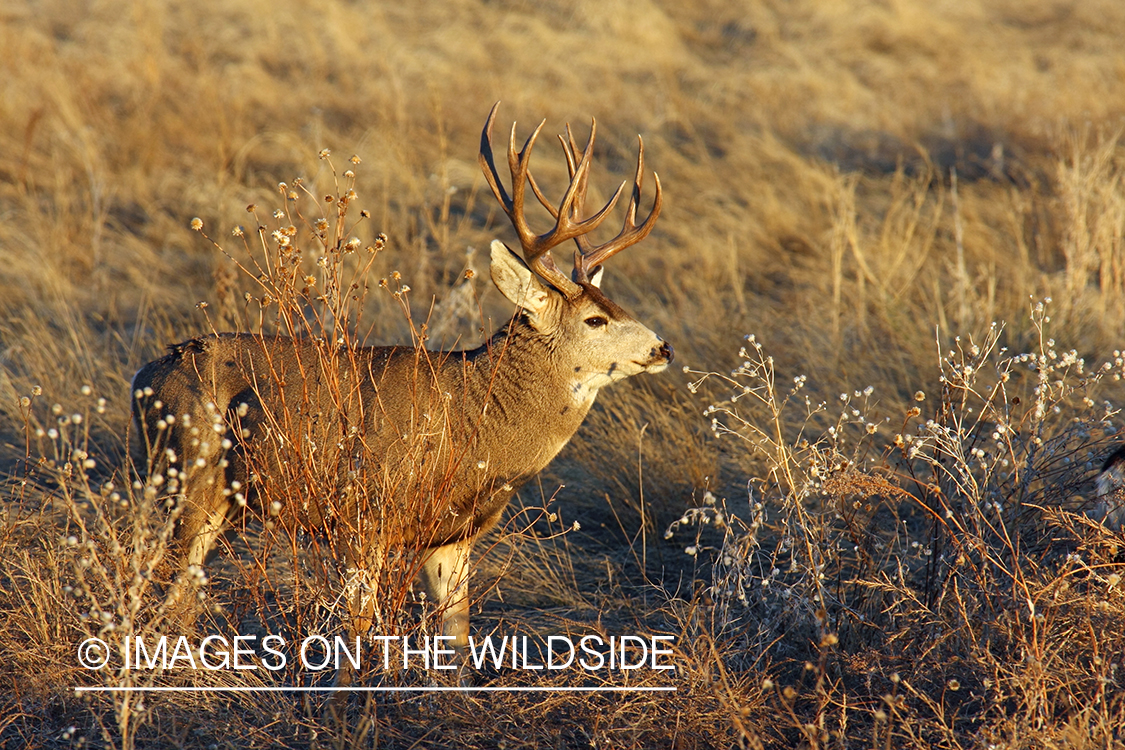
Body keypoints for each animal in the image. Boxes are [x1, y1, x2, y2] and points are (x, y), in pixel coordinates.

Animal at [131, 102, 675, 670]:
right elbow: (358, 632)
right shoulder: (364, 516)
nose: (663, 347)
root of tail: (145, 374)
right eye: (595, 319)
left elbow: (456, 642)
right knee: (164, 587)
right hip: (187, 476)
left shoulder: (452, 538)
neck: (472, 418)